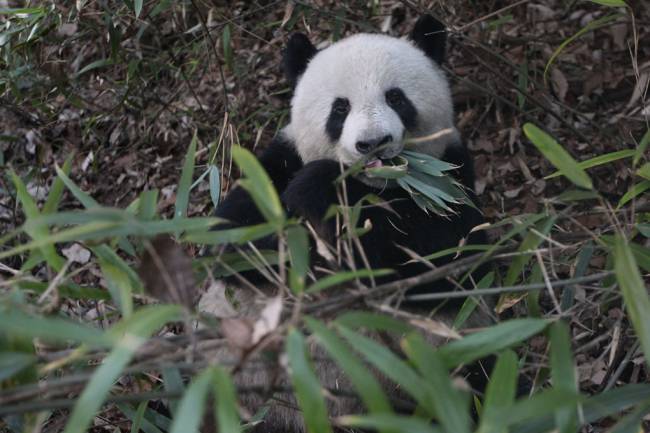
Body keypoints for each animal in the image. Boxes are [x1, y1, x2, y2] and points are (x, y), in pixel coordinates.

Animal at [210, 14, 489, 433]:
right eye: (339, 109)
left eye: (396, 98)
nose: (373, 143)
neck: (375, 187)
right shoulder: (276, 166)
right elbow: (235, 246)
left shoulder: (449, 178)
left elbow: (444, 262)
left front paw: (322, 189)